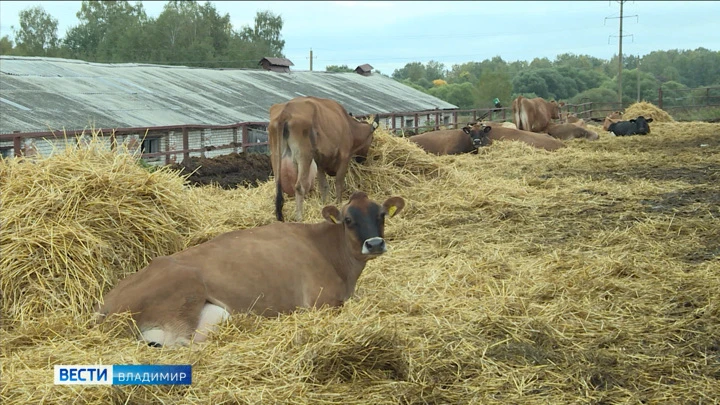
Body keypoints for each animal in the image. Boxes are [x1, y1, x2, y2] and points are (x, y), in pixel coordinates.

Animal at [97, 191, 404, 346]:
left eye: (382, 215)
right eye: (349, 220)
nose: (375, 244)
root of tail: (106, 305)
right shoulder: (321, 301)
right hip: (185, 298)